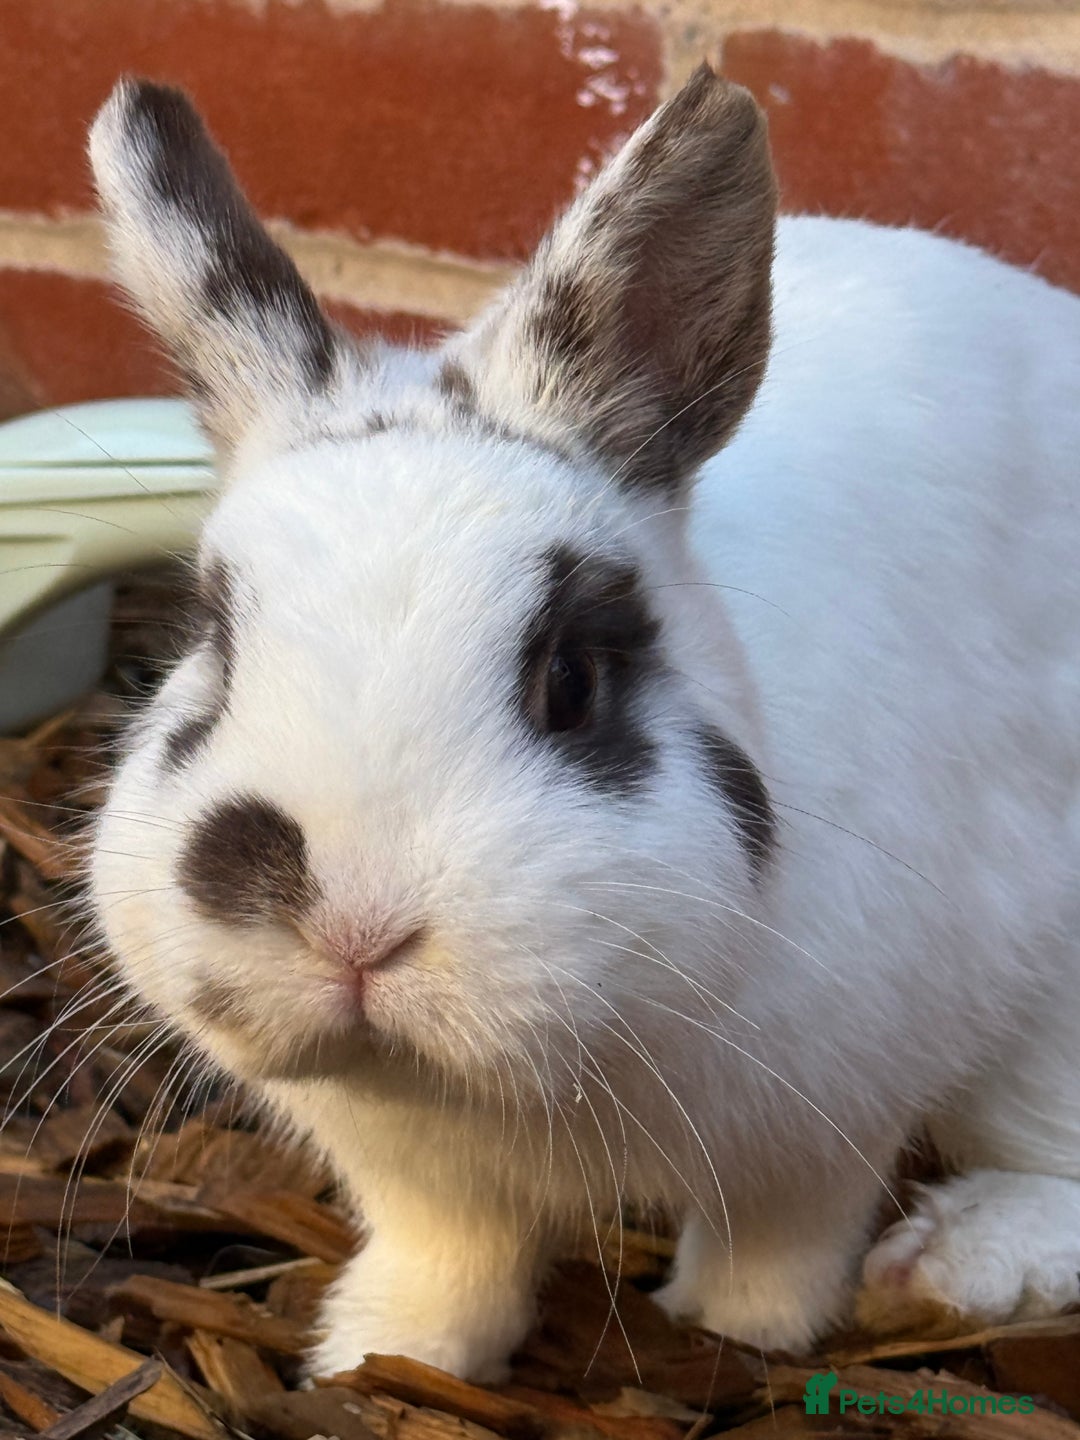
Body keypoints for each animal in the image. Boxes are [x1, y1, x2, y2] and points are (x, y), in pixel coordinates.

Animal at [86, 64, 1080, 1383]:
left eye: (570, 679)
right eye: (214, 645)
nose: (355, 929)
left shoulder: (828, 1122)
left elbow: (781, 1245)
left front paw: (734, 1332)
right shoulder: (419, 1177)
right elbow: (448, 1259)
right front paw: (373, 1360)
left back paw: (958, 1261)